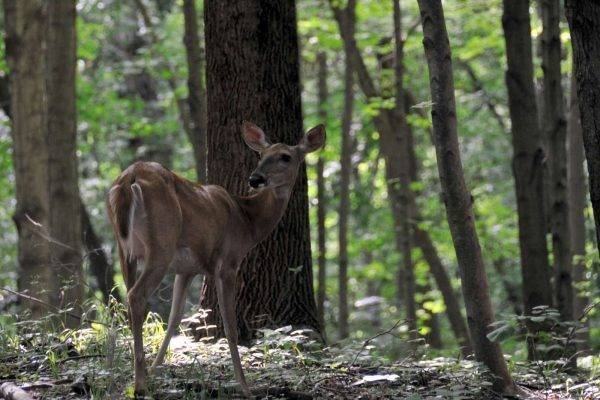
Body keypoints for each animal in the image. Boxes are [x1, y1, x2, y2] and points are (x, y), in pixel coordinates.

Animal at [106, 122, 324, 396]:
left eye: (285, 156)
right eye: (262, 155)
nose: (255, 179)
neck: (247, 222)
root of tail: (129, 178)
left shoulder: (186, 269)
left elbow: (174, 319)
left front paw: (155, 370)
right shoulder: (227, 263)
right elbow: (230, 327)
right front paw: (245, 386)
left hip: (124, 249)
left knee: (128, 296)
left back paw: (137, 378)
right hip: (161, 246)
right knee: (136, 296)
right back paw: (139, 385)